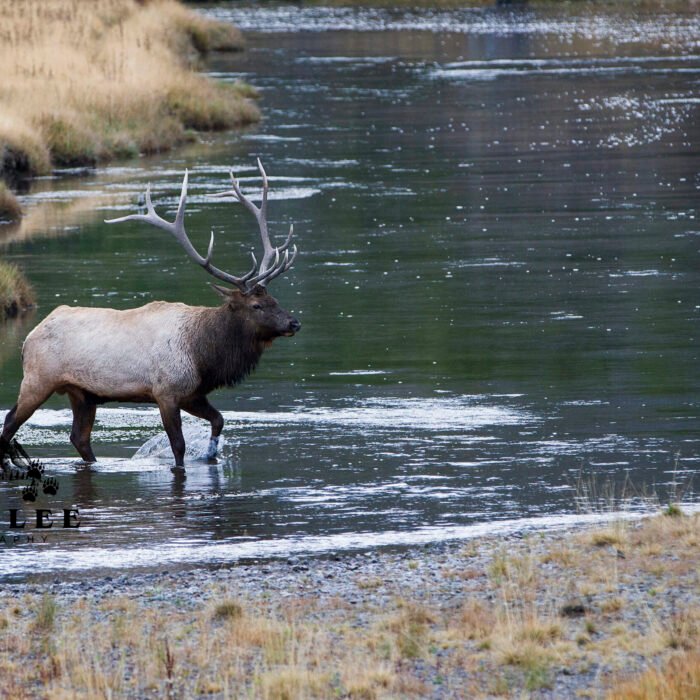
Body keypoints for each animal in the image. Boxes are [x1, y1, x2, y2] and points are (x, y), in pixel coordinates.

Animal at [0, 159, 300, 470]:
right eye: (256, 306)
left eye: (274, 299)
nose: (294, 322)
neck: (203, 354)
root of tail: (28, 338)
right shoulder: (166, 391)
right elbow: (178, 446)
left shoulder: (193, 393)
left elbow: (219, 420)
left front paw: (211, 453)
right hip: (38, 379)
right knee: (10, 421)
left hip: (81, 393)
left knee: (79, 437)